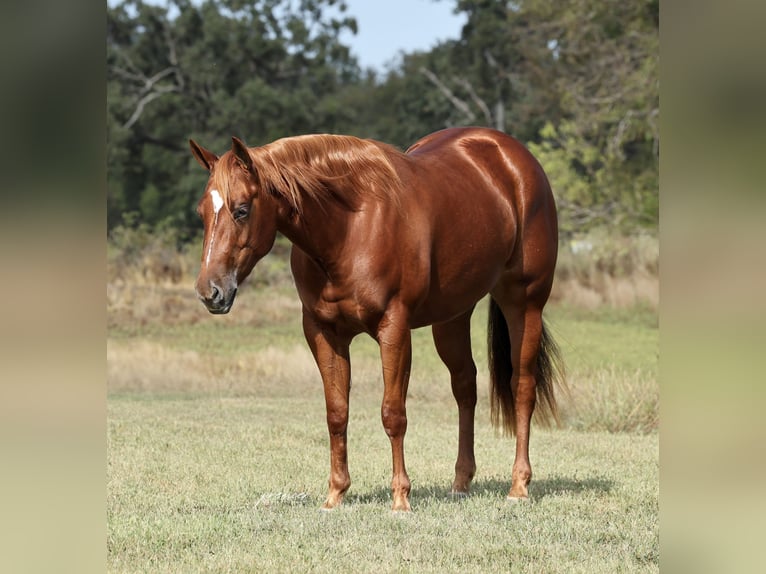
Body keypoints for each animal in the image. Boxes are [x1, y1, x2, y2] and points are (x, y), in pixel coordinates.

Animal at [189, 127, 565, 512]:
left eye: (241, 210)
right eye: (202, 212)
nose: (209, 291)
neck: (351, 228)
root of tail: (511, 155)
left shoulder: (394, 329)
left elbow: (393, 413)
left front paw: (400, 497)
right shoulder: (324, 333)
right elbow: (337, 412)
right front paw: (335, 494)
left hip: (524, 303)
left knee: (522, 387)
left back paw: (518, 485)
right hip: (452, 317)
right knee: (465, 386)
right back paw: (460, 483)